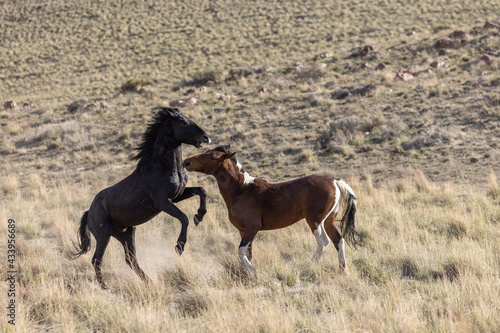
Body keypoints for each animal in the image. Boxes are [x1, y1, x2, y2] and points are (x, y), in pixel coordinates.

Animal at [71, 107, 209, 288]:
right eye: (182, 122)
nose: (205, 137)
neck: (163, 167)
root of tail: (89, 212)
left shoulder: (177, 196)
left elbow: (201, 191)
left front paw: (199, 216)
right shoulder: (162, 202)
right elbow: (184, 218)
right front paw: (179, 247)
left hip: (126, 234)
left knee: (130, 260)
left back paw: (149, 282)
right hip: (104, 235)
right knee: (96, 260)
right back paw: (105, 286)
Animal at [184, 145, 360, 270]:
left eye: (212, 156)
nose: (187, 162)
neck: (242, 189)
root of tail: (334, 182)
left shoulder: (252, 228)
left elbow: (241, 251)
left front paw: (253, 271)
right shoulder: (243, 231)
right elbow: (247, 253)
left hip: (315, 220)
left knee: (323, 242)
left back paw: (311, 265)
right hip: (329, 220)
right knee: (338, 240)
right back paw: (342, 270)